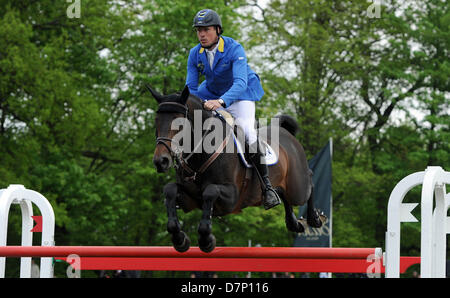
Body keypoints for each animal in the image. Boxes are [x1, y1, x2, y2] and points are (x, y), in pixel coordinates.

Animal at [148, 85, 324, 253]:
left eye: (179, 123)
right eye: (156, 120)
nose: (161, 161)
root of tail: (286, 133)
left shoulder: (232, 197)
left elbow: (210, 191)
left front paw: (206, 240)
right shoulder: (189, 200)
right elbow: (169, 189)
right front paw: (180, 239)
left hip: (297, 187)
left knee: (309, 182)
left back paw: (314, 218)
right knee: (283, 194)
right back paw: (292, 221)